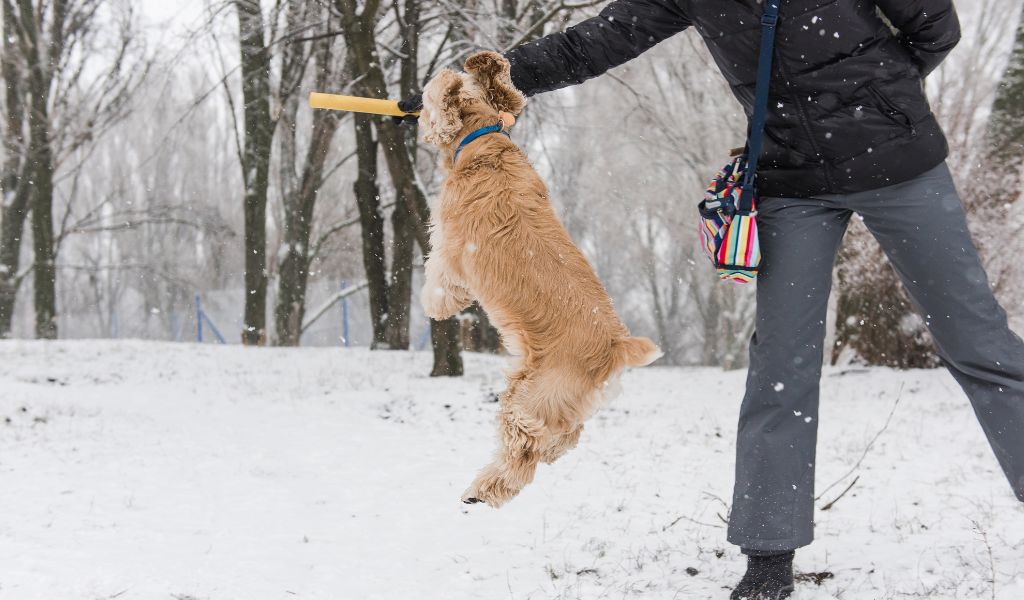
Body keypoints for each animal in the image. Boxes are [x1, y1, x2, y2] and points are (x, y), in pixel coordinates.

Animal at [419, 51, 659, 503]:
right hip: (555, 400)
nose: (414, 114)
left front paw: (434, 305)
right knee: (567, 436)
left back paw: (482, 489)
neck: (482, 139)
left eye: (424, 103)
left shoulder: (451, 250)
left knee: (524, 451)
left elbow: (440, 282)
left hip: (531, 396)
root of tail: (618, 346)